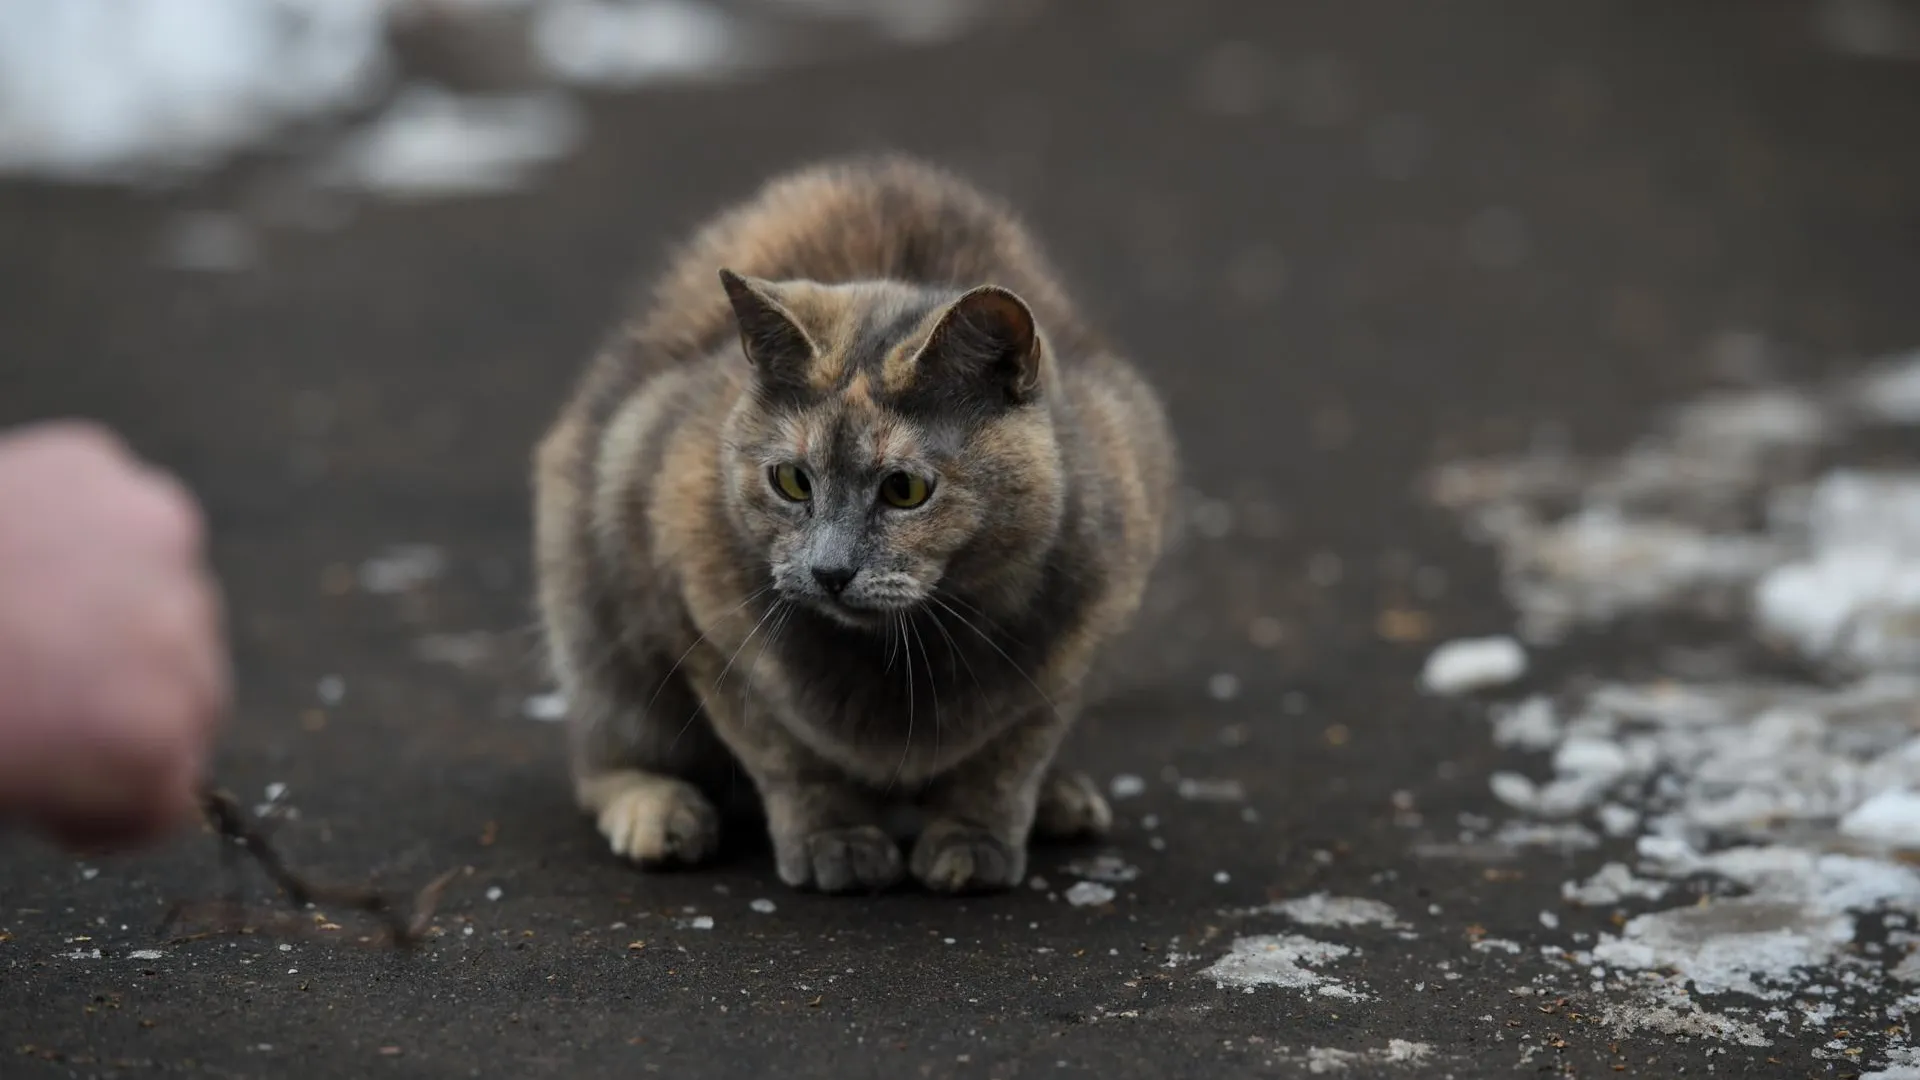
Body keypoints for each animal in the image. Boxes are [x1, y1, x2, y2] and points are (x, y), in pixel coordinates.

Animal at [533, 153, 1175, 891]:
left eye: (905, 489)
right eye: (789, 481)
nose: (830, 570)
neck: (905, 655)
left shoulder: (1077, 642)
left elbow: (1007, 758)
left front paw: (974, 841)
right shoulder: (698, 622)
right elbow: (787, 752)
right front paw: (833, 842)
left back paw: (1061, 800)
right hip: (595, 612)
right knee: (604, 759)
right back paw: (661, 813)